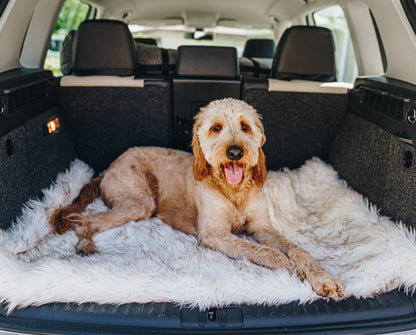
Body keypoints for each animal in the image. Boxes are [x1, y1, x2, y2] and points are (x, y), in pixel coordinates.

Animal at [51, 98, 344, 300]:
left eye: (245, 126)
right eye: (216, 128)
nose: (235, 151)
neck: (233, 191)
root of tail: (110, 166)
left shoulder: (263, 227)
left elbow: (298, 249)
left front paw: (322, 277)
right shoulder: (214, 234)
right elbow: (260, 250)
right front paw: (285, 265)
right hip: (140, 201)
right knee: (86, 220)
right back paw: (85, 241)